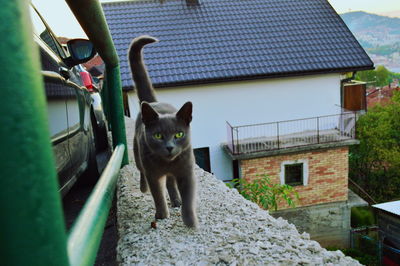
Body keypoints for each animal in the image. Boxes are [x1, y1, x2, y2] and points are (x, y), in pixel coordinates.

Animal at [127, 34, 198, 228]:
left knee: (171, 183)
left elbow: (189, 197)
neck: (167, 163)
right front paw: (161, 215)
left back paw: (176, 200)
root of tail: (152, 103)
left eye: (179, 134)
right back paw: (144, 188)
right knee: (142, 171)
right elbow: (157, 194)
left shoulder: (186, 171)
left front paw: (190, 221)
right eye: (158, 135)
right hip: (138, 153)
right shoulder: (153, 173)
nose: (169, 147)